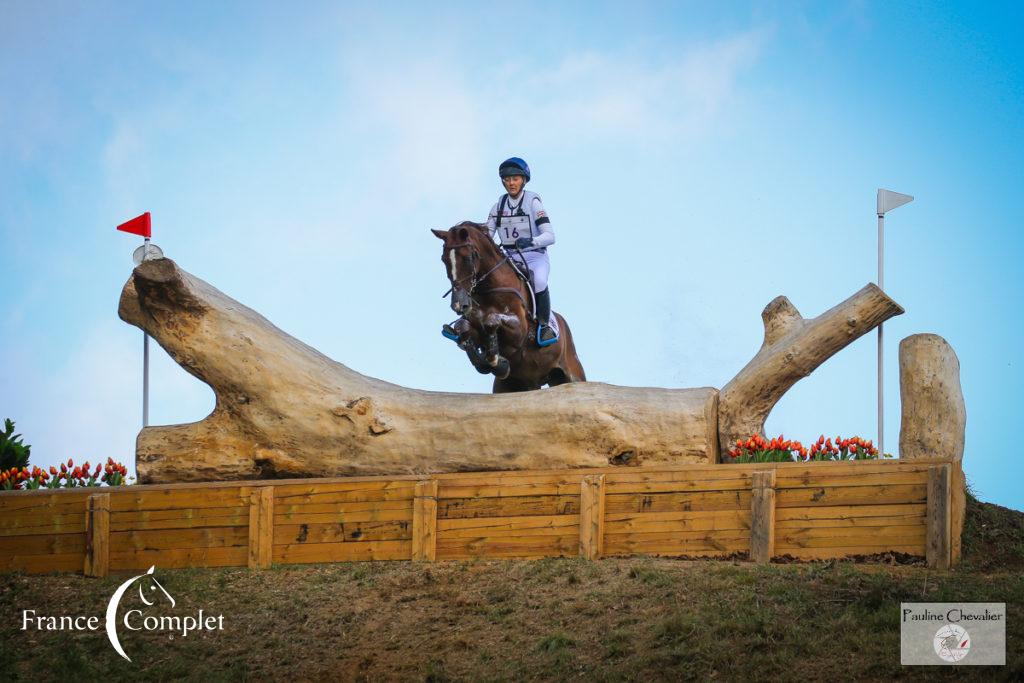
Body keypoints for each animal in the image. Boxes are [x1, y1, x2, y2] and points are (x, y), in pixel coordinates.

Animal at [432, 219, 589, 389]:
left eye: (468, 258)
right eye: (444, 259)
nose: (459, 305)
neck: (490, 288)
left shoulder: (519, 330)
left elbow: (491, 320)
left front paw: (496, 361)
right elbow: (462, 326)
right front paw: (485, 362)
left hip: (573, 376)